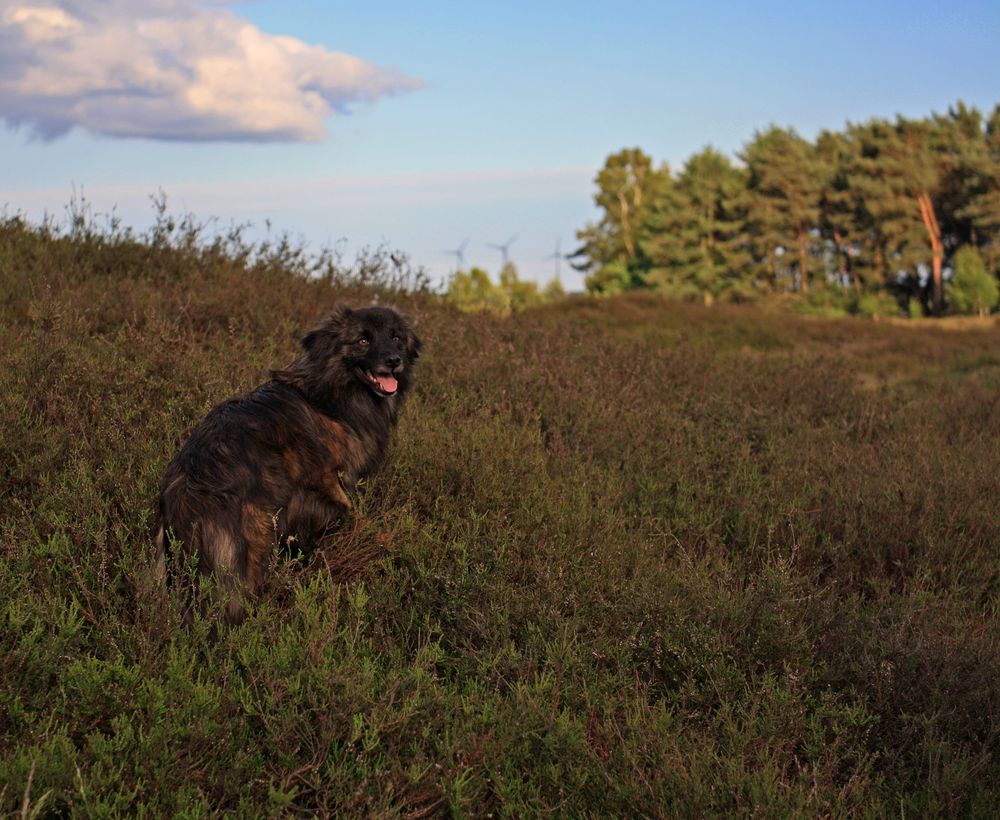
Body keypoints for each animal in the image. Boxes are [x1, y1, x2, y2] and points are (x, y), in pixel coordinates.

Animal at [154, 304, 420, 624]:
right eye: (363, 340)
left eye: (396, 337)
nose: (394, 361)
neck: (333, 391)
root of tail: (182, 498)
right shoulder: (331, 481)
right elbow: (345, 507)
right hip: (251, 549)